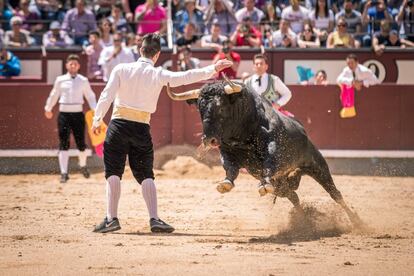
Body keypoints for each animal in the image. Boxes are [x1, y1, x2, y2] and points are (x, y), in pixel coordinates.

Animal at [167, 76, 360, 225]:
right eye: (200, 109)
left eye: (221, 107)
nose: (208, 139)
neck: (242, 132)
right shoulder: (226, 151)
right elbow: (230, 168)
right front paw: (225, 184)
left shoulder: (272, 145)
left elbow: (269, 161)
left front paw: (263, 184)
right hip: (282, 185)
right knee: (294, 196)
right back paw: (303, 219)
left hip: (317, 166)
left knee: (335, 194)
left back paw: (357, 222)